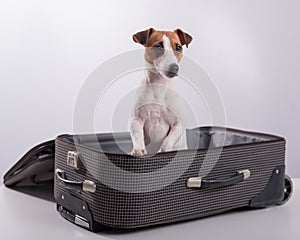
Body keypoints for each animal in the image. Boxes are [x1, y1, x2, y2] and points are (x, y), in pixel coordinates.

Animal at [128, 28, 192, 157]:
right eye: (158, 46)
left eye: (178, 47)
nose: (174, 68)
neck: (159, 86)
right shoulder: (136, 119)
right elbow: (137, 136)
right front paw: (138, 150)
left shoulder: (178, 124)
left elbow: (168, 140)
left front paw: (164, 150)